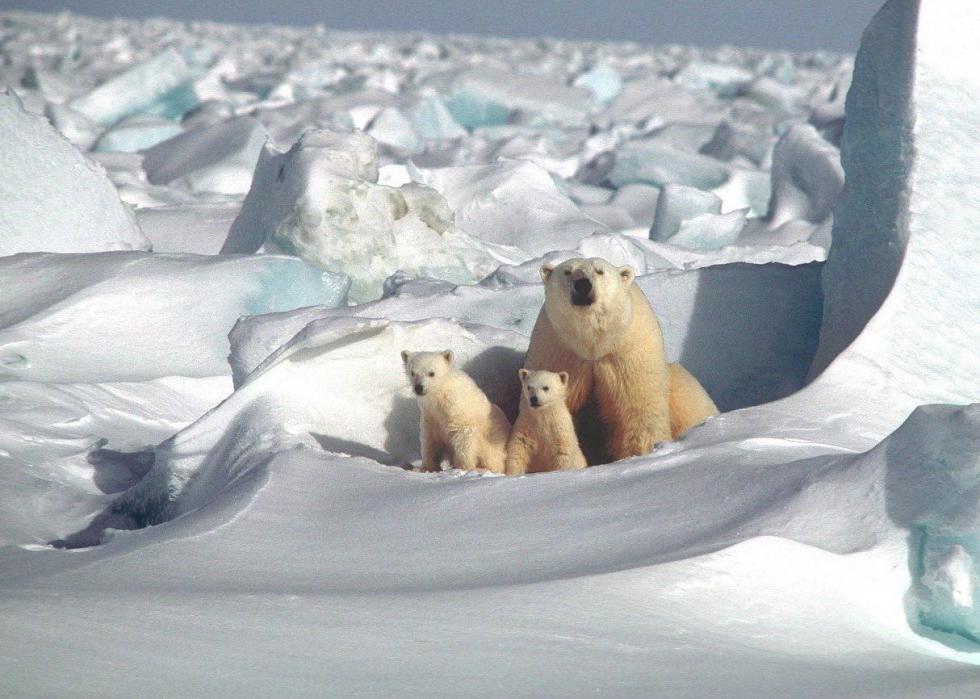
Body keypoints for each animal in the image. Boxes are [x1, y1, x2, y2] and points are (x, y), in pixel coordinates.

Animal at [524, 258, 716, 464]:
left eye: (600, 271)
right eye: (567, 271)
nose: (582, 285)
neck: (593, 345)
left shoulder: (626, 354)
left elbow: (636, 410)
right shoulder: (559, 352)